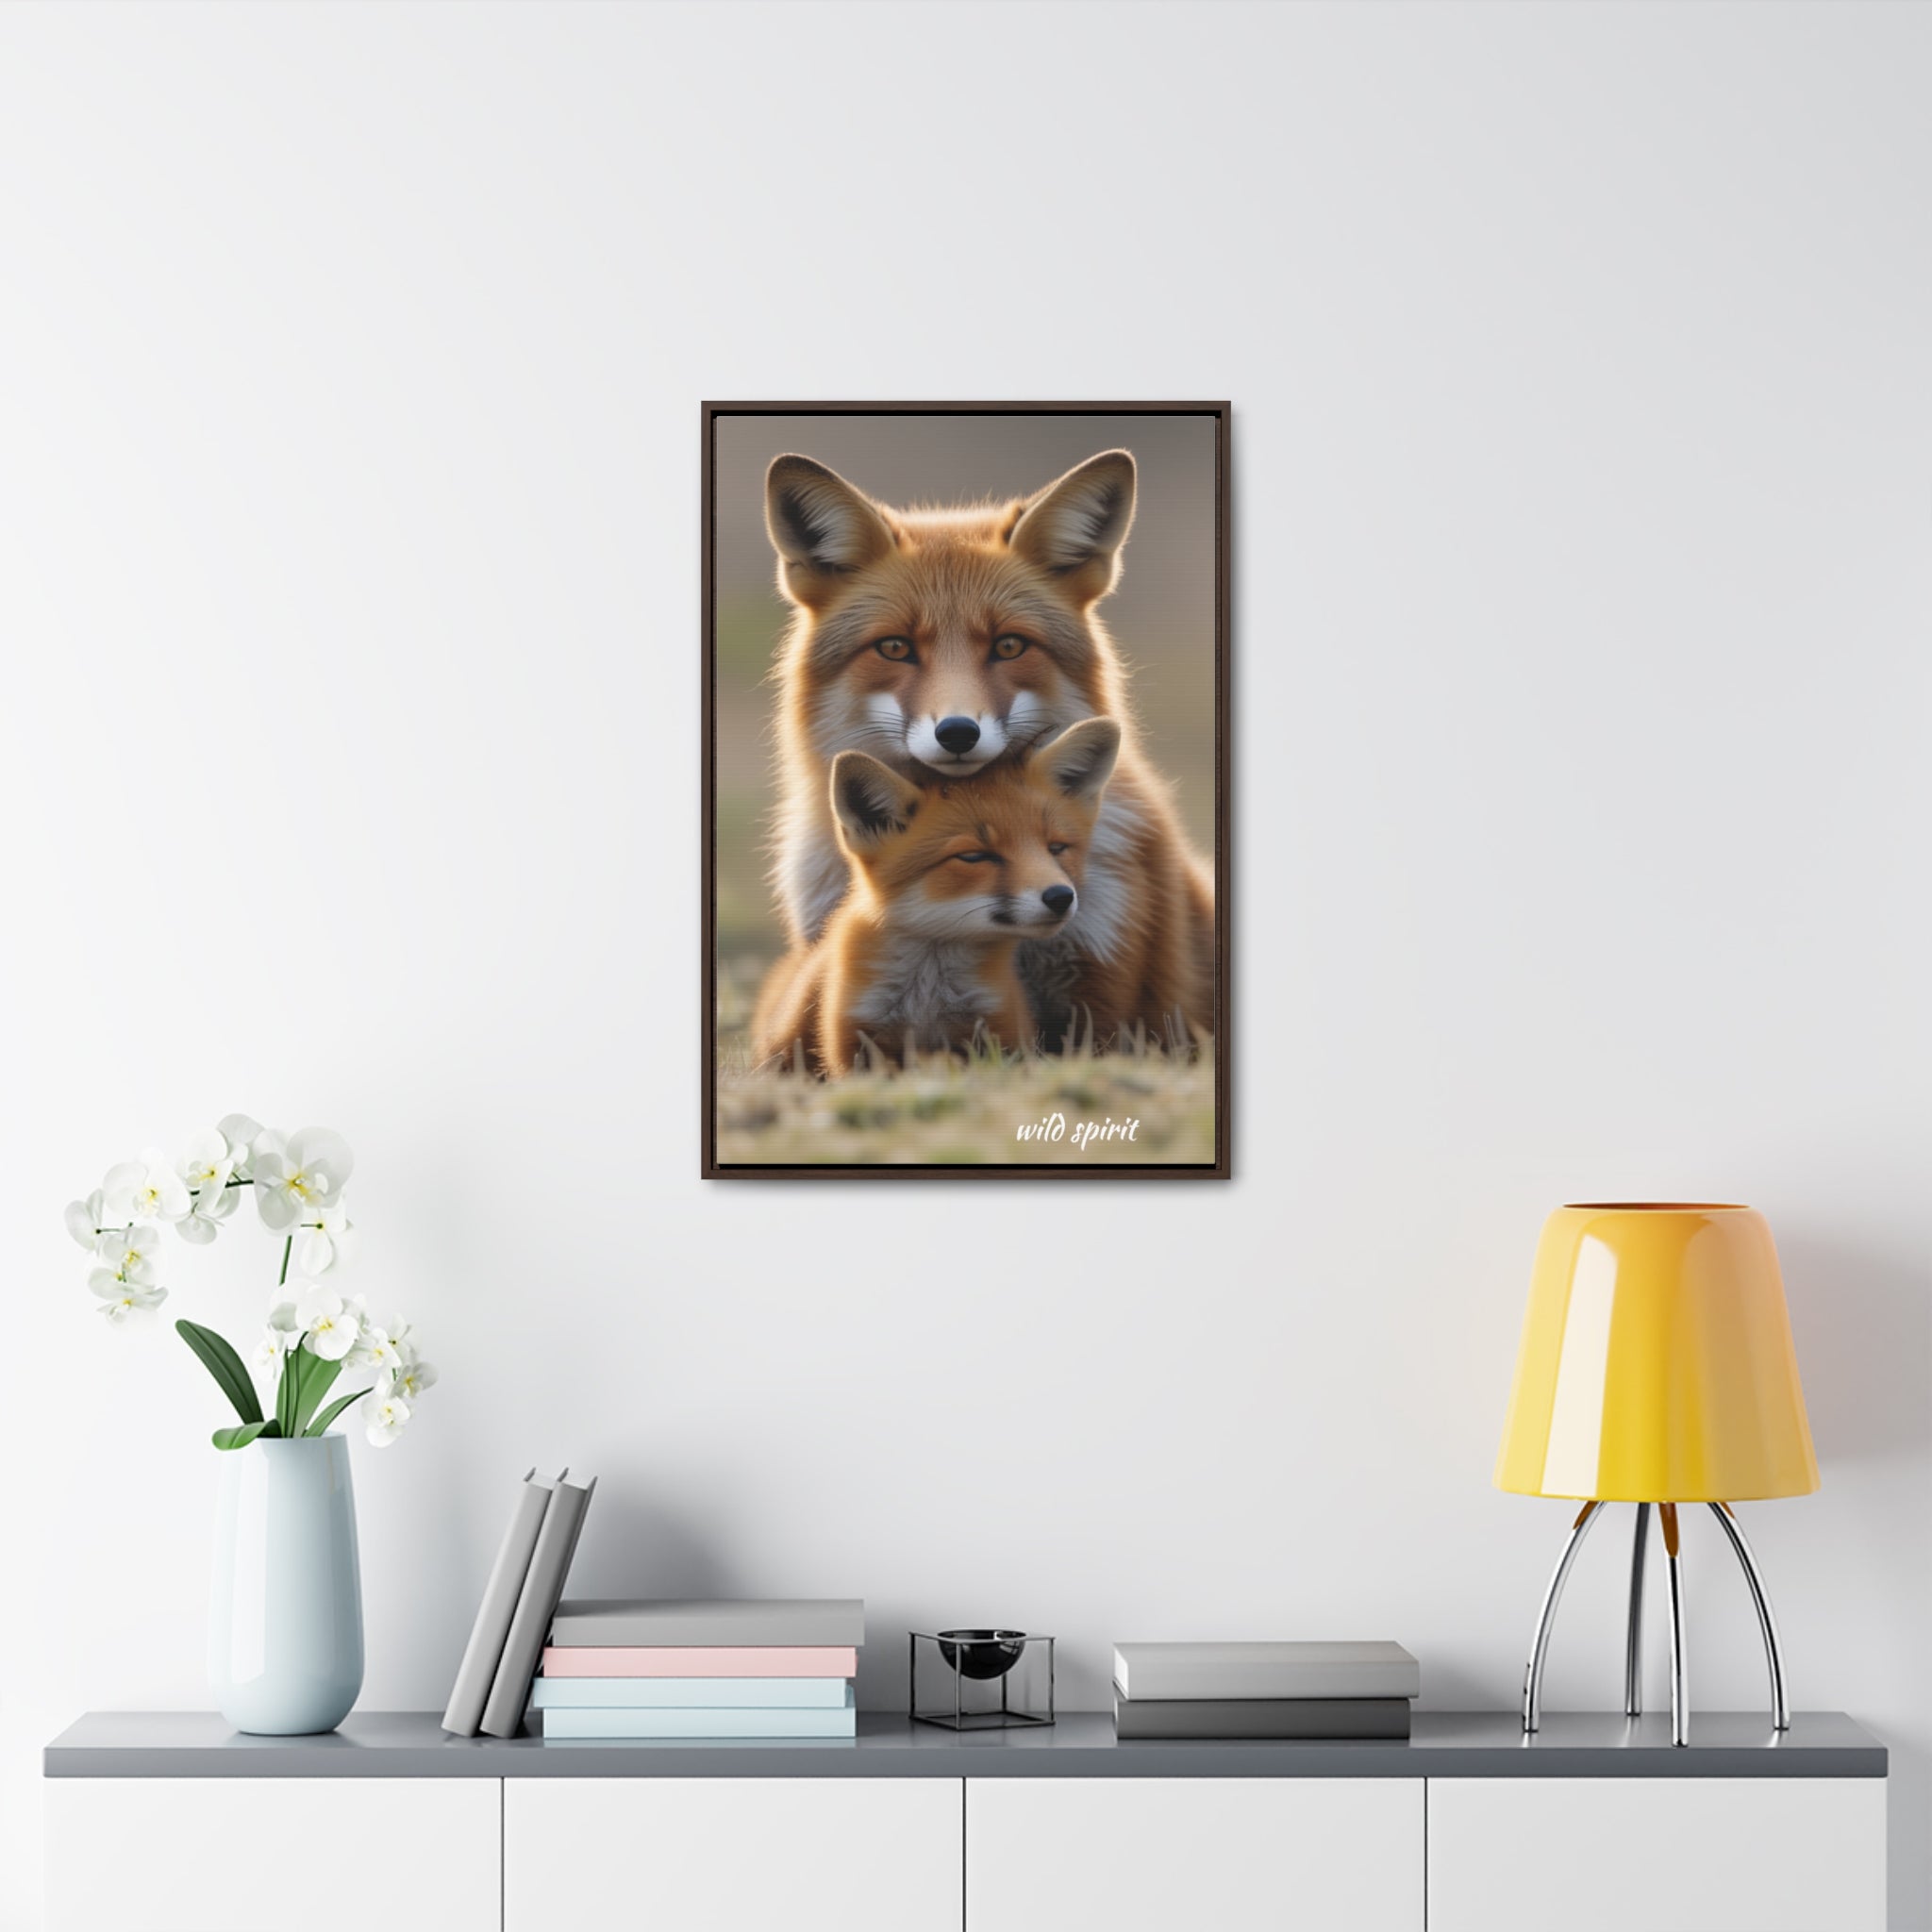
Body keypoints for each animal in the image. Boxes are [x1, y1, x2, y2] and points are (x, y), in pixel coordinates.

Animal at [751, 718, 1122, 1078]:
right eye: (974, 856)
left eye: (1056, 848)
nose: (1061, 897)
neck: (927, 997)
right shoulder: (855, 1041)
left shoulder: (999, 1030)